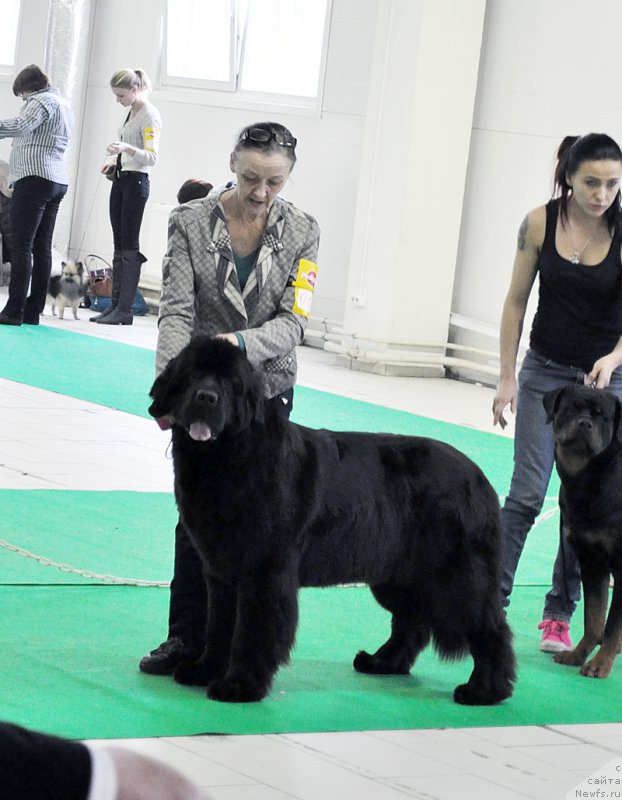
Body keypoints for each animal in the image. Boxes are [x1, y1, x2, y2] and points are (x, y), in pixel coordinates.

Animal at [150, 338, 516, 708]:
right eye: (193, 375)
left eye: (229, 383)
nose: (206, 397)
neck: (229, 457)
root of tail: (480, 479)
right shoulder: (220, 570)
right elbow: (219, 626)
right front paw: (204, 670)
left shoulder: (264, 573)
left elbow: (252, 631)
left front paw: (239, 685)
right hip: (398, 575)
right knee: (410, 621)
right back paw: (382, 662)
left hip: (456, 576)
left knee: (490, 627)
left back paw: (485, 689)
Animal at [544, 384, 622, 680]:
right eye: (572, 408)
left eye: (601, 416)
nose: (585, 424)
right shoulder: (591, 562)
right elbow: (594, 618)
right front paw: (578, 654)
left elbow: (611, 626)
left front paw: (600, 663)